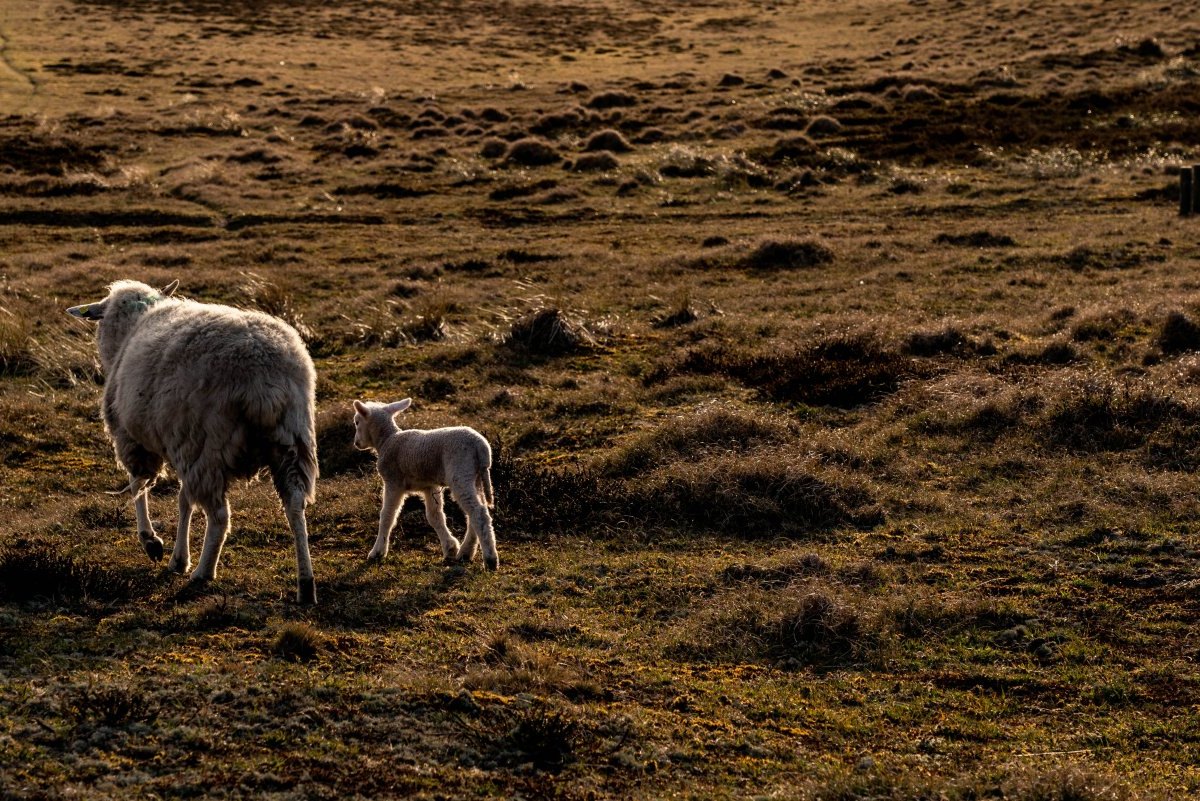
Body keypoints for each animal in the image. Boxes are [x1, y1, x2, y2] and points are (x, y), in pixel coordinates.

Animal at [68, 278, 321, 604]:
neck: (135, 323)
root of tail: (264, 377)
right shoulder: (180, 442)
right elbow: (183, 500)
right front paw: (177, 557)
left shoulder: (134, 438)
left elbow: (140, 486)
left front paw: (152, 541)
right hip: (292, 442)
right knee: (295, 506)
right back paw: (306, 583)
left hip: (208, 446)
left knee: (220, 516)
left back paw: (204, 572)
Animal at [350, 400, 496, 568]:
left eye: (357, 422)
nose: (356, 443)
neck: (387, 440)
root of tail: (482, 447)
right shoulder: (429, 486)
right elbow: (435, 516)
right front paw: (450, 548)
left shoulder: (393, 482)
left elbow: (387, 516)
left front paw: (377, 552)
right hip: (475, 477)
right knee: (474, 512)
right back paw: (465, 553)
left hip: (461, 472)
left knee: (478, 513)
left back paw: (490, 559)